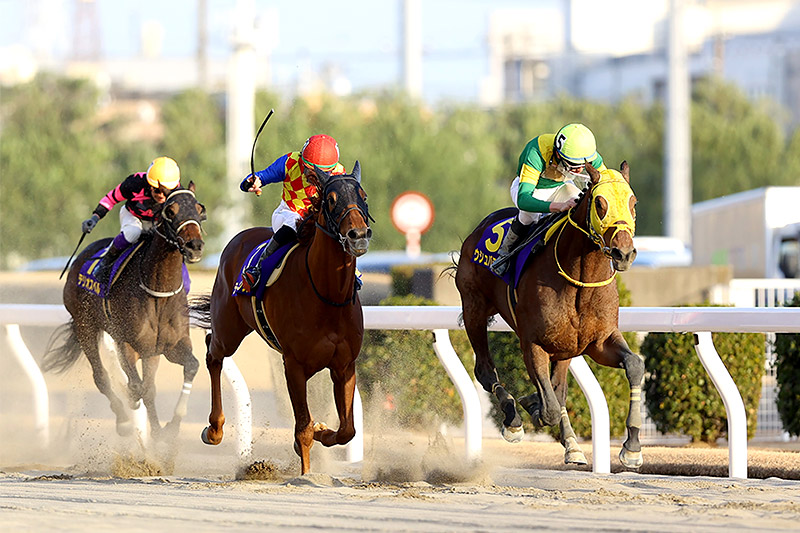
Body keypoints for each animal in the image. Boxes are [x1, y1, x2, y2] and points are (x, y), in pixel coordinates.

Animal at [43, 185, 206, 438]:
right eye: (171, 211)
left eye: (199, 209)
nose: (194, 246)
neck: (158, 292)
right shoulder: (126, 344)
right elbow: (139, 388)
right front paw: (140, 417)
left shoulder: (172, 345)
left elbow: (190, 367)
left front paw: (169, 428)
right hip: (85, 326)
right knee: (101, 377)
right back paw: (124, 421)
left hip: (151, 351)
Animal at [190, 162, 372, 474]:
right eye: (331, 200)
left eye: (363, 196)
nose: (358, 235)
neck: (327, 295)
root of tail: (238, 237)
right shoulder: (294, 365)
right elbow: (303, 428)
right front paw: (306, 473)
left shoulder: (344, 364)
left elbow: (346, 429)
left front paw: (322, 431)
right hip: (229, 328)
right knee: (213, 353)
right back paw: (213, 430)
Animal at [454, 161, 648, 466]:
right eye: (599, 203)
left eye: (633, 202)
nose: (623, 253)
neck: (580, 279)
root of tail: (481, 226)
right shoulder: (533, 344)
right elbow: (549, 409)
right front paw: (530, 406)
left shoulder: (599, 342)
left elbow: (634, 365)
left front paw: (632, 447)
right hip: (474, 307)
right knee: (485, 371)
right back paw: (513, 418)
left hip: (566, 347)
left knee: (559, 388)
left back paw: (572, 445)